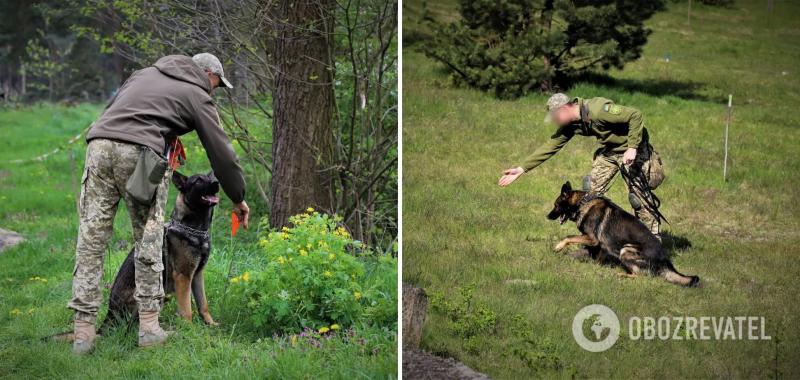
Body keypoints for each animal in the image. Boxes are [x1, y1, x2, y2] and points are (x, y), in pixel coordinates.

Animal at [548, 180, 696, 284]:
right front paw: (595, 266)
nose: (547, 216)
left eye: (556, 205)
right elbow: (597, 256)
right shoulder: (600, 244)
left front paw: (558, 246)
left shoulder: (592, 238)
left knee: (640, 276)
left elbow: (569, 237)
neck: (582, 204)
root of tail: (664, 258)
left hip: (625, 250)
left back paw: (621, 274)